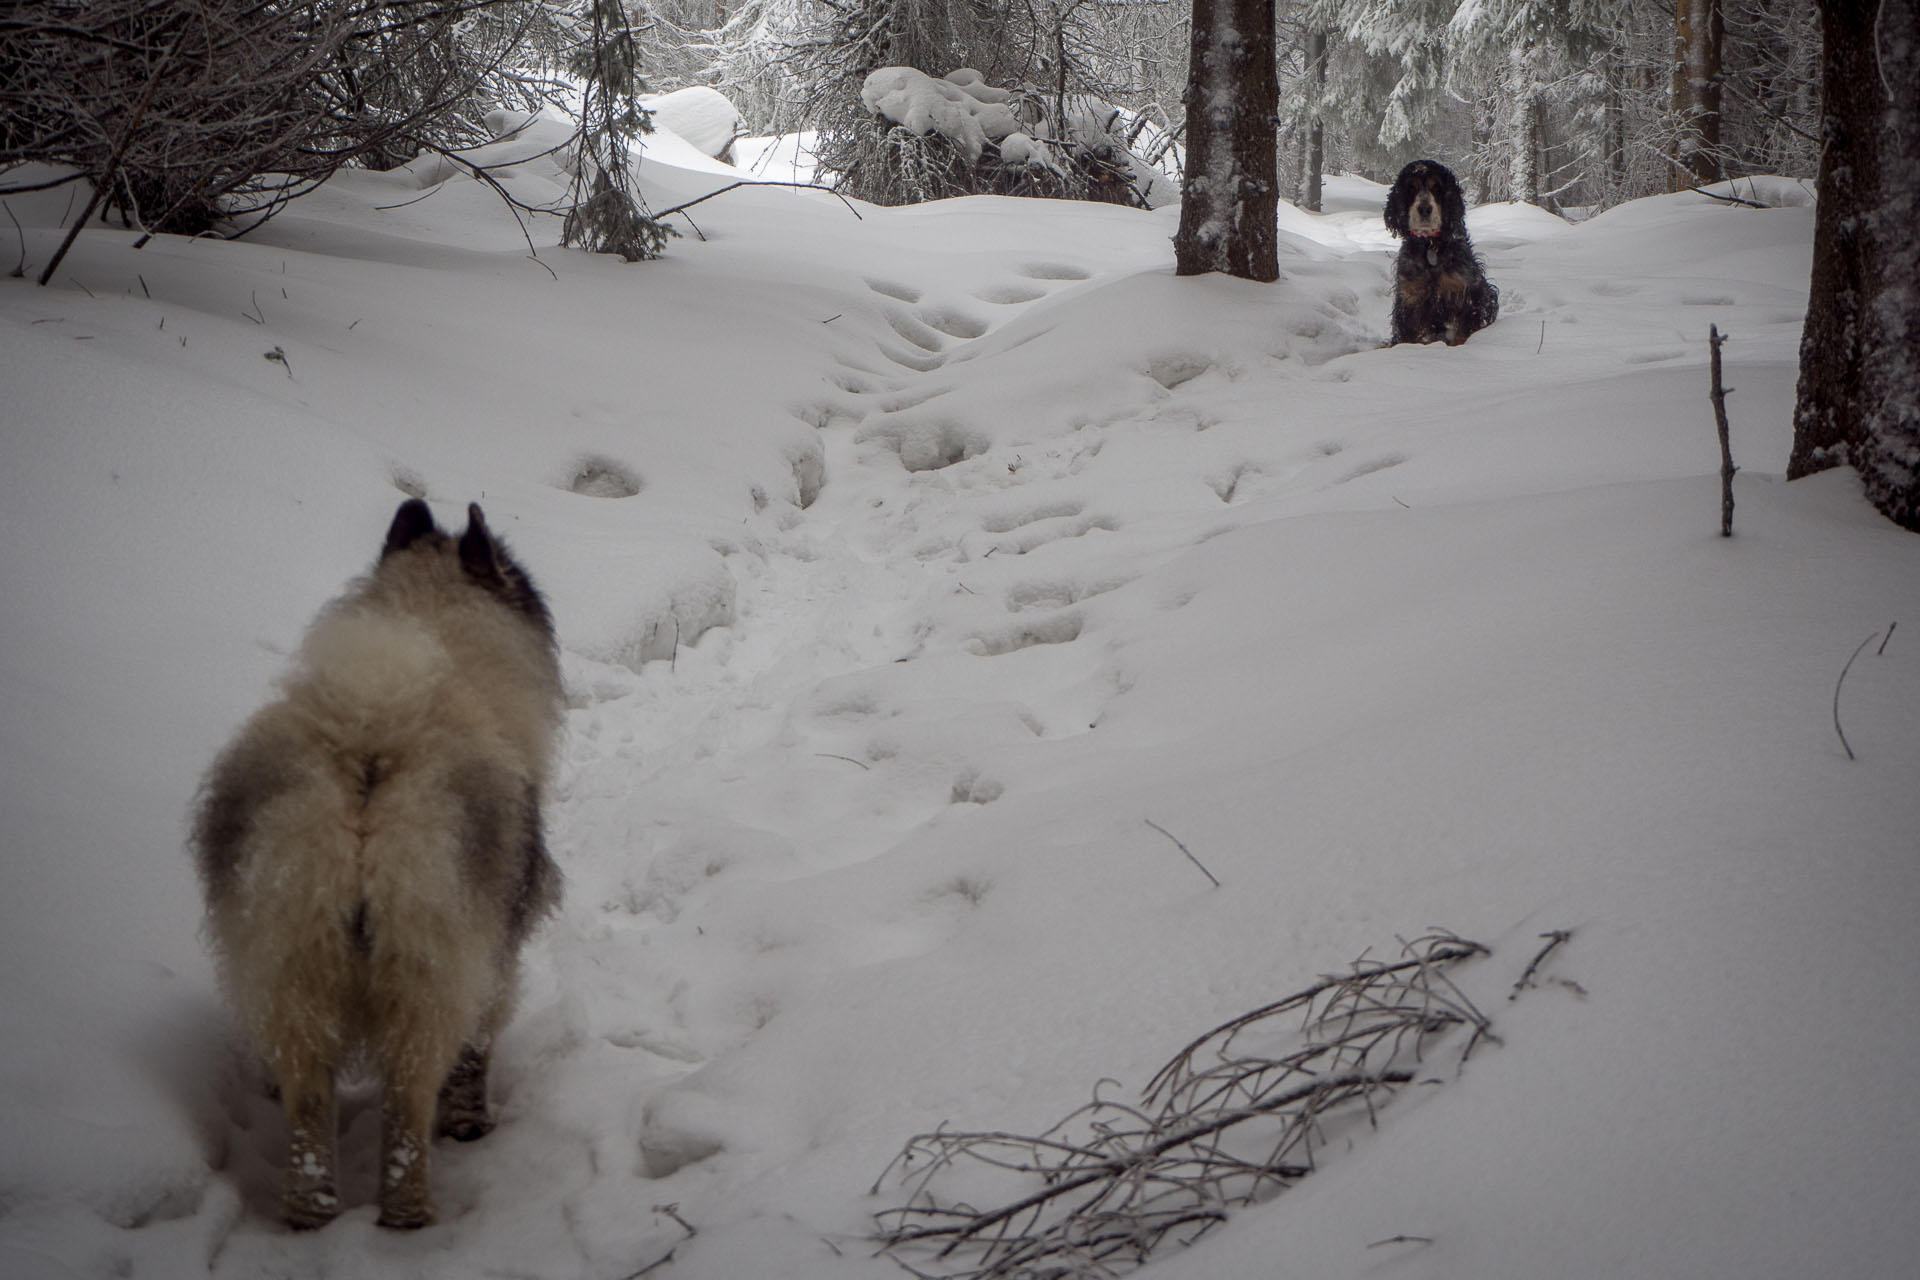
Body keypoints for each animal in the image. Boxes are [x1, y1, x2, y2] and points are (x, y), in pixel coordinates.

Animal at [196, 498, 568, 1228]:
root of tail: (367, 754)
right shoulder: (495, 957)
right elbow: (476, 1053)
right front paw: (470, 1125)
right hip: (428, 968)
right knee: (408, 1100)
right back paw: (409, 1211)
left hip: (293, 958)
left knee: (310, 1100)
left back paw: (310, 1211)